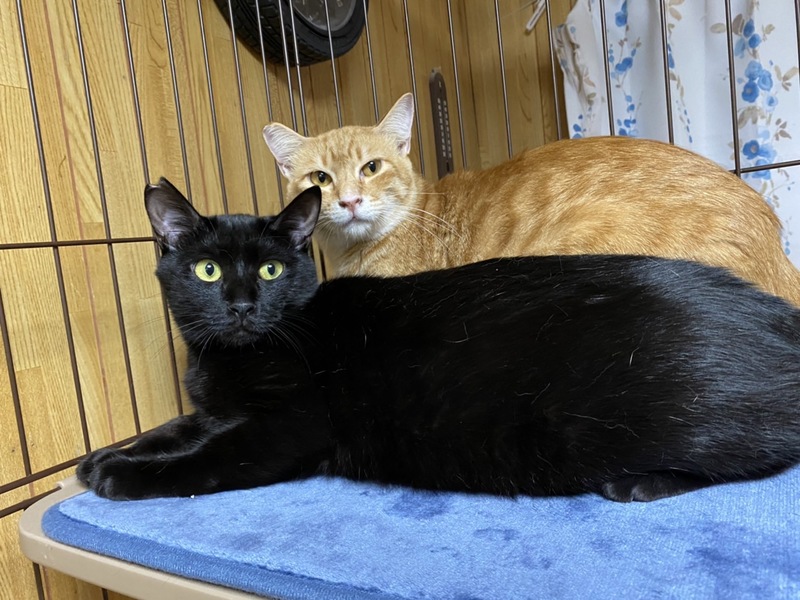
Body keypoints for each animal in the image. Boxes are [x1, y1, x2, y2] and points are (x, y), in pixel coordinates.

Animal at [77, 178, 800, 503]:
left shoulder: (289, 426)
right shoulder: (214, 410)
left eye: (272, 270)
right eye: (206, 270)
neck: (224, 361)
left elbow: (204, 459)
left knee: (764, 454)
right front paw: (104, 454)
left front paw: (123, 474)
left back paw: (640, 483)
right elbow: (176, 428)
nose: (242, 305)